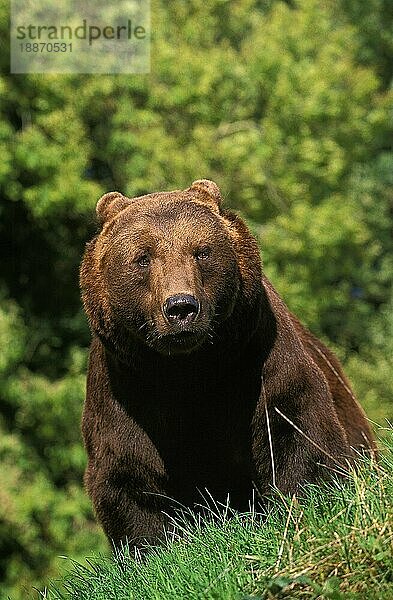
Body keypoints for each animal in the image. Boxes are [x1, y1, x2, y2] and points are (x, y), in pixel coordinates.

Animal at [79, 179, 374, 548]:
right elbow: (128, 478)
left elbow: (297, 432)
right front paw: (154, 544)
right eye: (143, 257)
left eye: (201, 251)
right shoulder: (128, 393)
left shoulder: (256, 364)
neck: (188, 368)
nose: (180, 307)